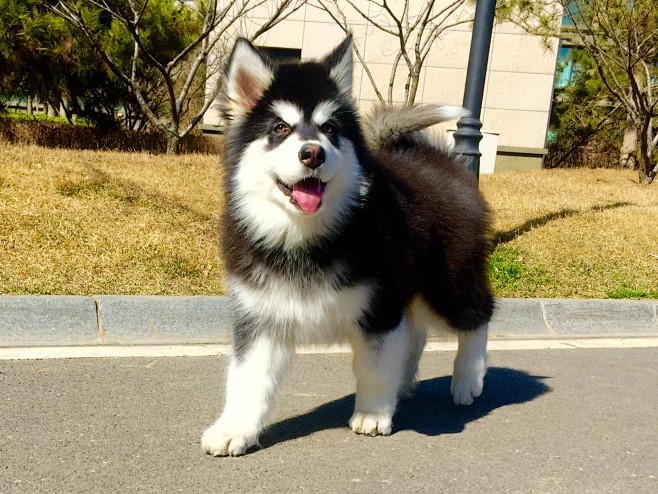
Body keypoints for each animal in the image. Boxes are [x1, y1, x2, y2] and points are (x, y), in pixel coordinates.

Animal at [202, 36, 494, 456]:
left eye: (329, 129)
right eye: (280, 128)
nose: (313, 152)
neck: (305, 237)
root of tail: (437, 157)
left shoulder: (379, 308)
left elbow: (374, 367)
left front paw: (372, 413)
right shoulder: (260, 315)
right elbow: (248, 378)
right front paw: (234, 427)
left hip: (447, 281)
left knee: (478, 314)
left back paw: (468, 378)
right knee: (416, 332)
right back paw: (406, 382)